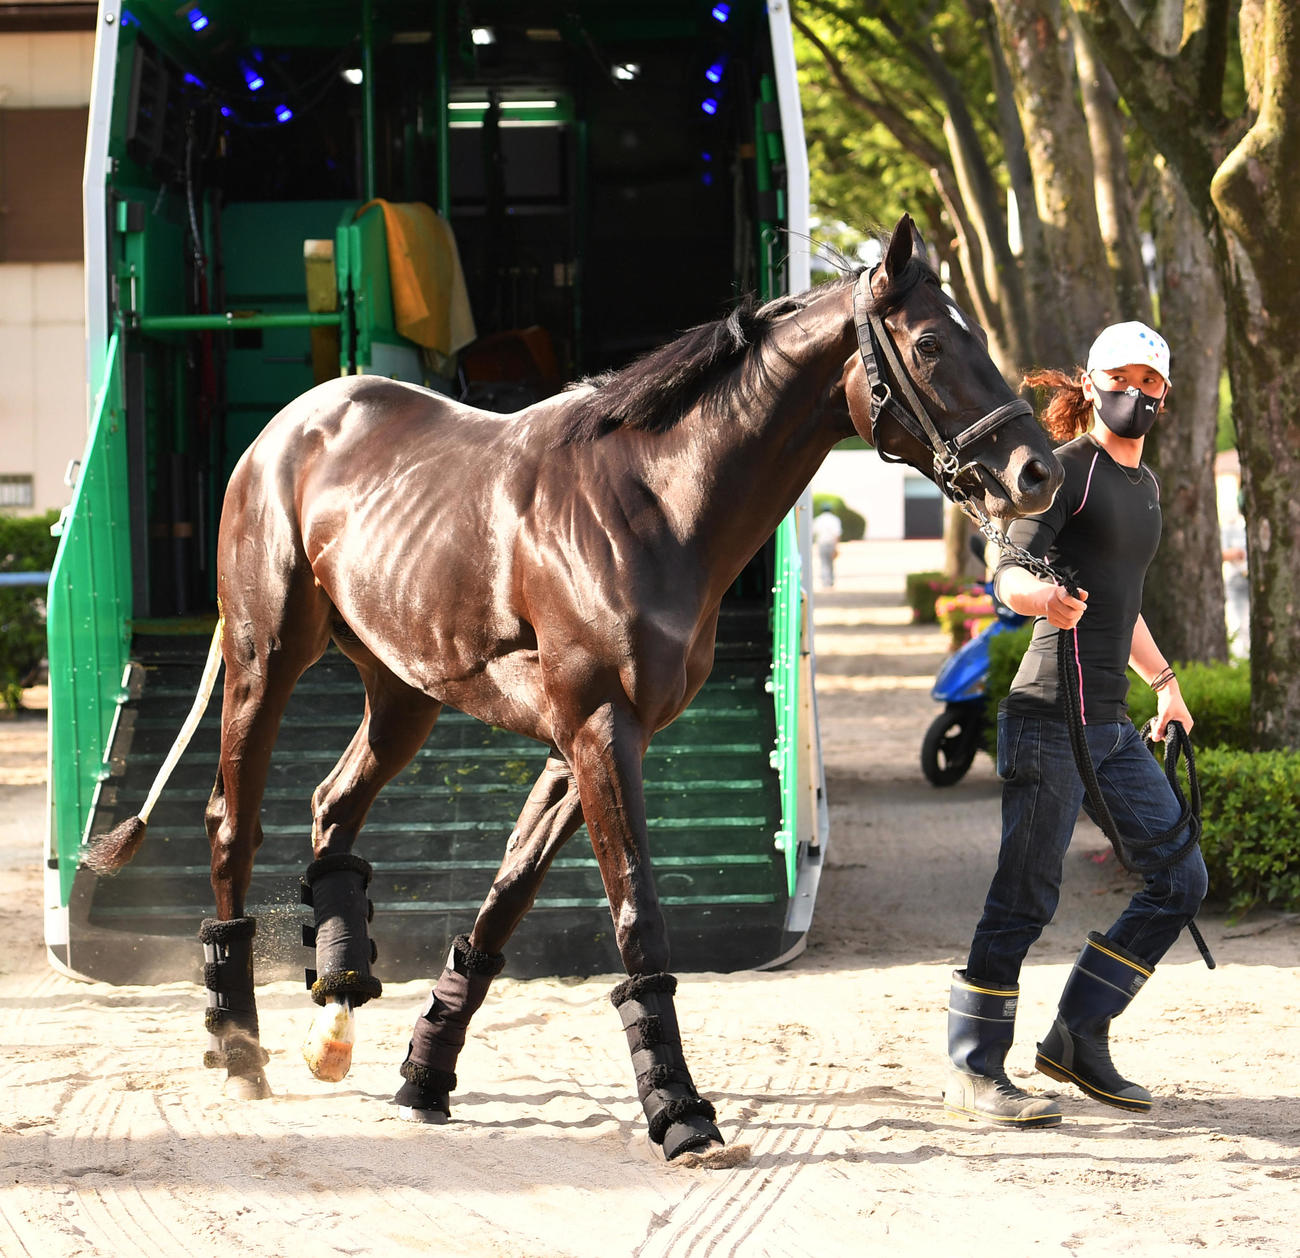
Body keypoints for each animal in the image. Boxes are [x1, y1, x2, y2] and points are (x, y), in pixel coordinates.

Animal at [87, 213, 1063, 1164]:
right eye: (931, 342)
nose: (1038, 472)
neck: (655, 504)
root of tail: (283, 432)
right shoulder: (599, 732)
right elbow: (635, 914)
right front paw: (681, 1113)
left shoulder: (579, 746)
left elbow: (503, 905)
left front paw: (424, 1078)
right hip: (266, 662)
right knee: (232, 823)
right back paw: (237, 1046)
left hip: (403, 694)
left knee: (333, 806)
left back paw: (337, 1001)